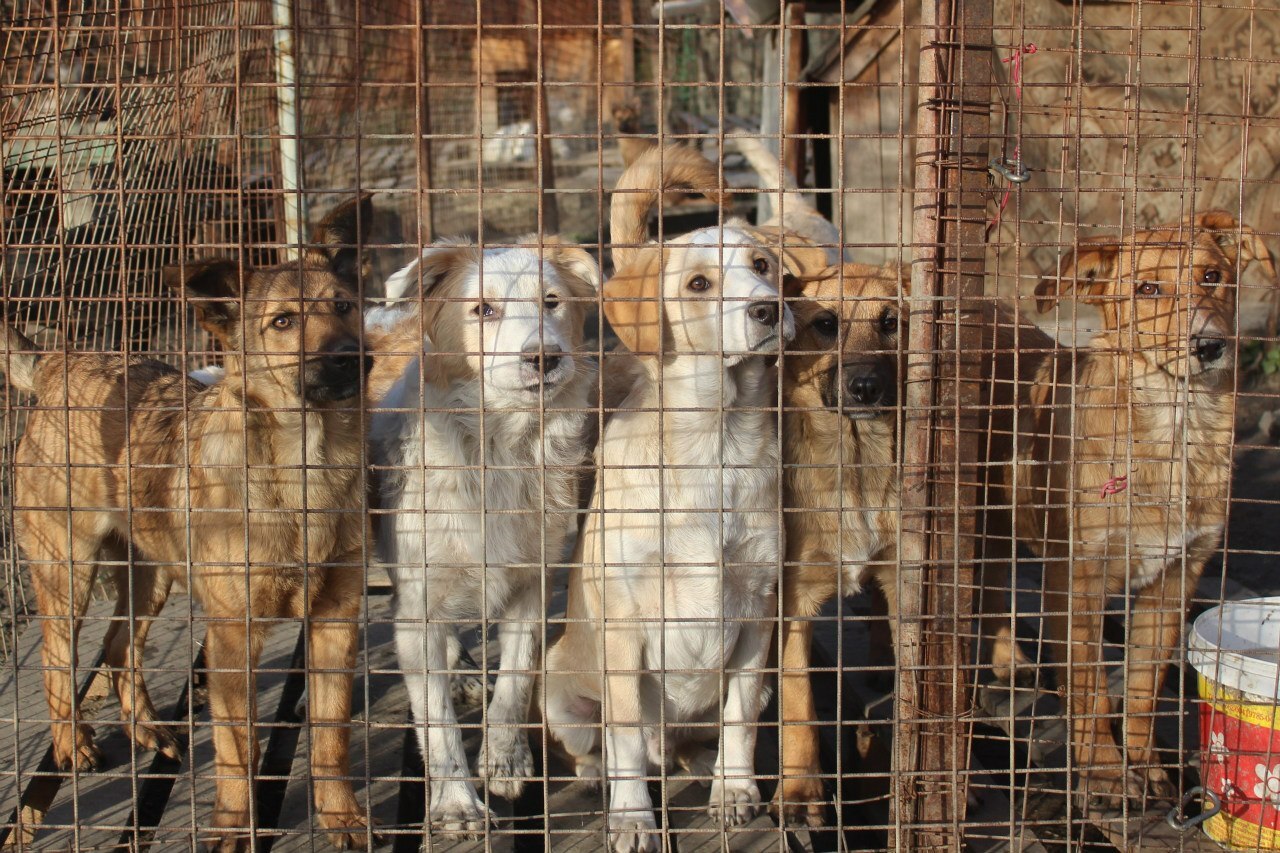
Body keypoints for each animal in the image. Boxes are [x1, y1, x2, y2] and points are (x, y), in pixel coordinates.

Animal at [3, 194, 373, 850]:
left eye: (344, 306)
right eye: (282, 322)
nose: (350, 358)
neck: (304, 469)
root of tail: (57, 363)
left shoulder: (335, 621)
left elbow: (331, 736)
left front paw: (341, 816)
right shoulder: (232, 636)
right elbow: (236, 746)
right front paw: (234, 825)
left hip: (152, 575)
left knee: (120, 646)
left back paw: (148, 729)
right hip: (66, 574)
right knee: (57, 658)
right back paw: (74, 745)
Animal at [773, 266, 1054, 824]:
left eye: (891, 323)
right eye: (825, 324)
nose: (866, 386)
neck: (860, 463)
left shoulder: (916, 584)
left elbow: (930, 691)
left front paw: (946, 778)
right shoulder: (795, 601)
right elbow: (797, 700)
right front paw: (798, 789)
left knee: (993, 587)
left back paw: (1009, 659)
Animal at [983, 208, 1274, 799]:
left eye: (1212, 277)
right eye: (1147, 289)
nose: (1208, 346)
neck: (1174, 428)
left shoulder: (1175, 580)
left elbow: (1142, 687)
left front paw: (1146, 766)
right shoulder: (1078, 580)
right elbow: (1091, 690)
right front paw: (1103, 774)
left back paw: (1010, 664)